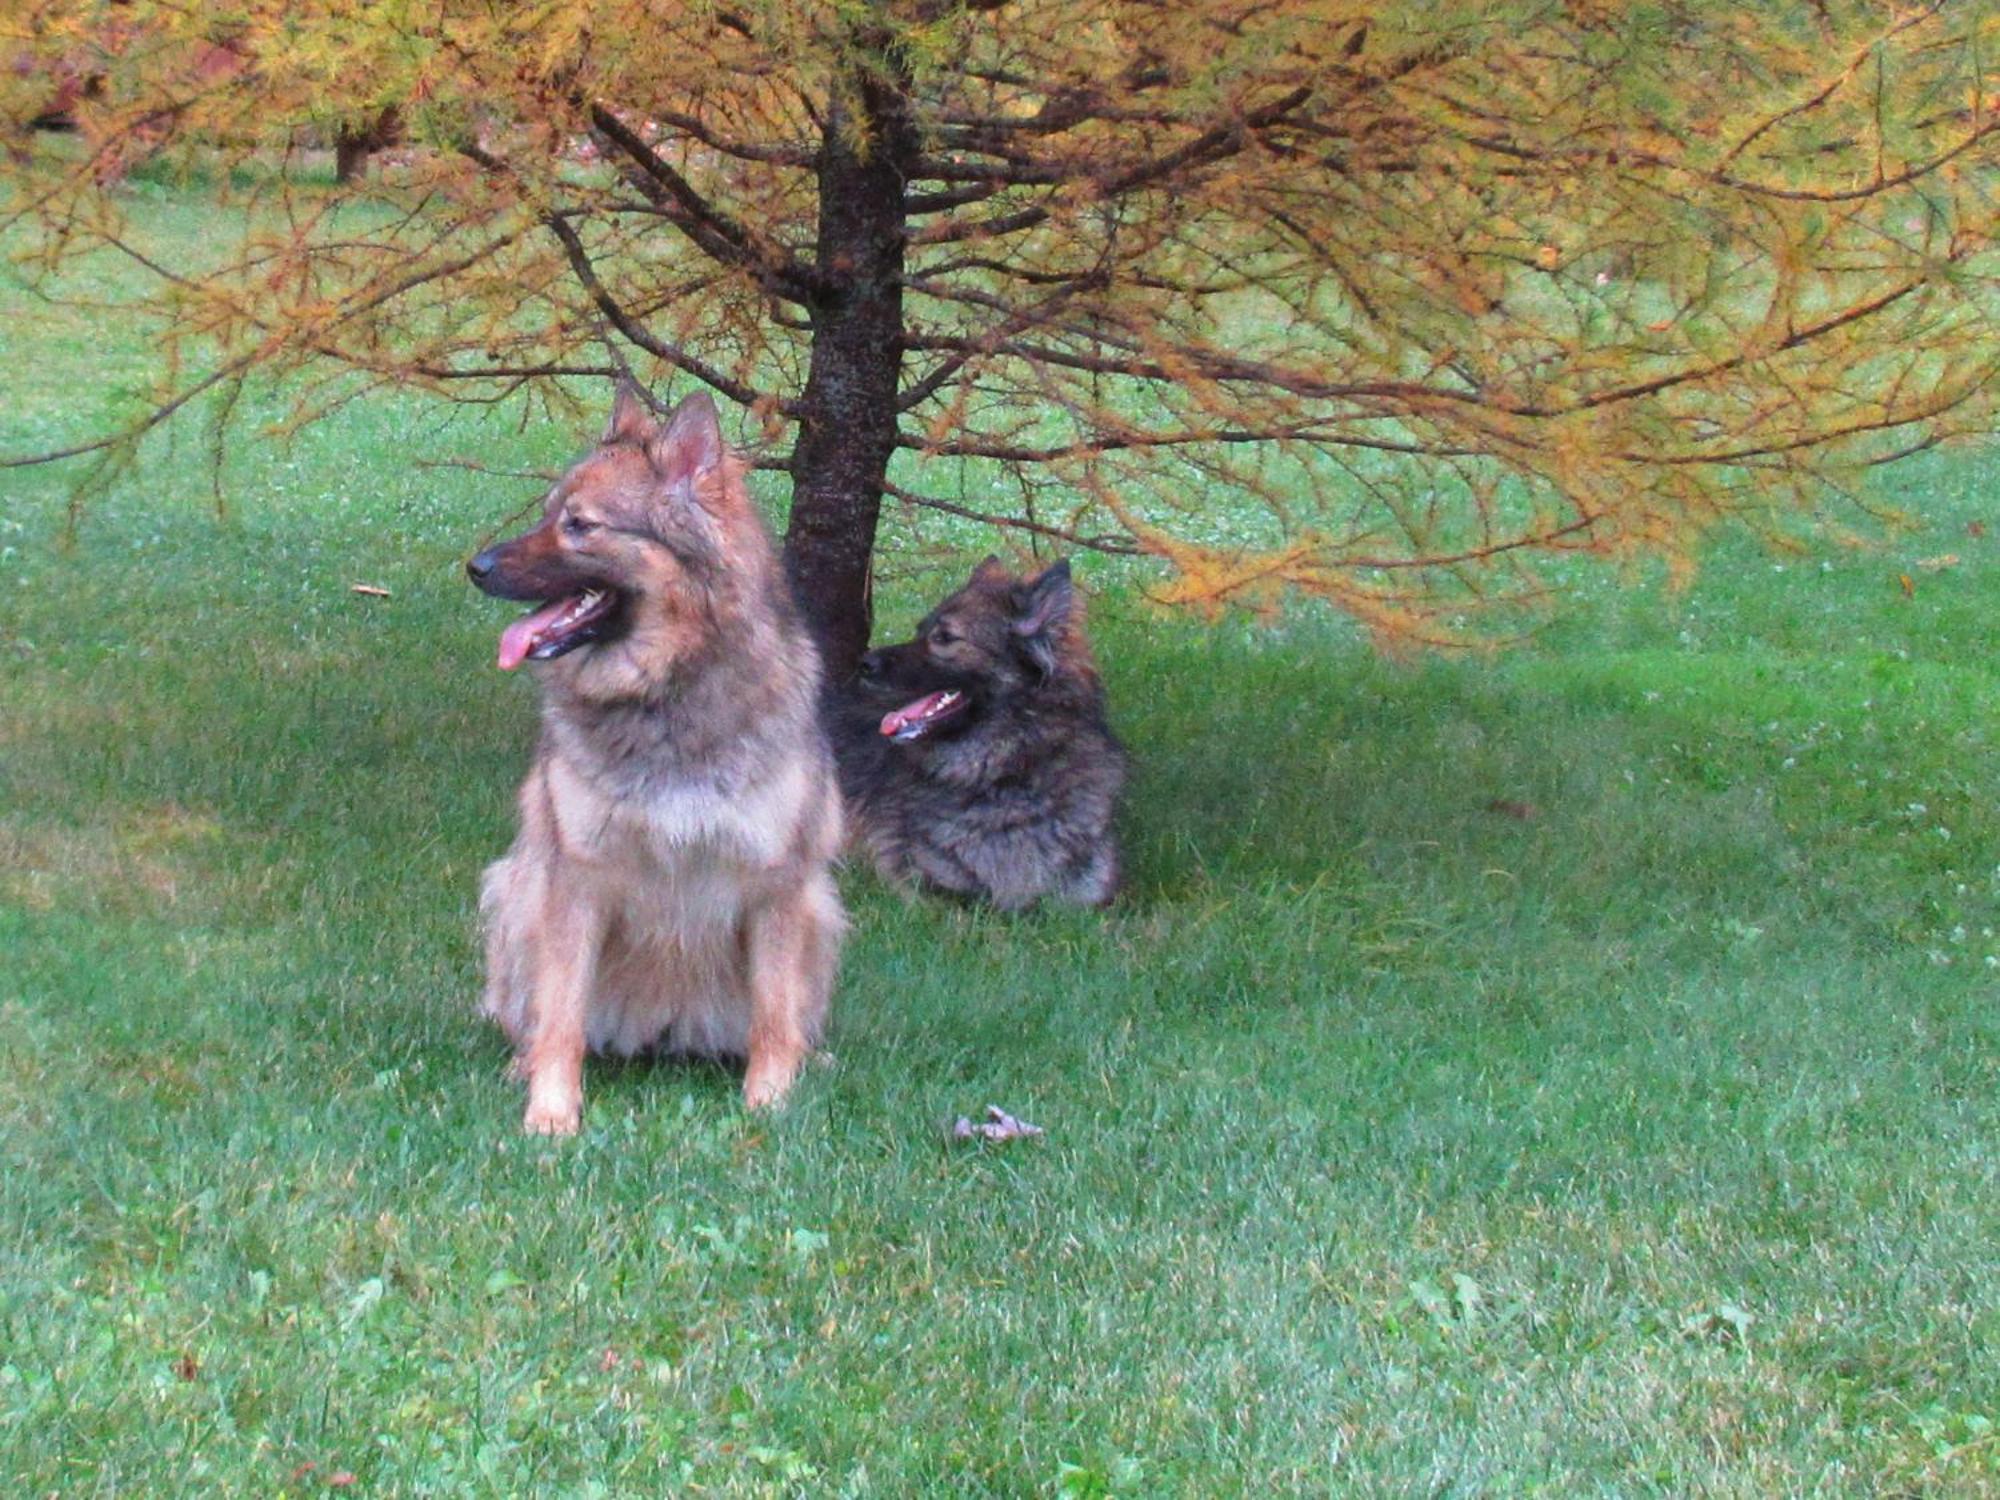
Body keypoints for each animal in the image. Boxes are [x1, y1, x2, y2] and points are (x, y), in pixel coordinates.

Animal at [468, 390, 844, 1136]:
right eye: (548, 513)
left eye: (580, 526)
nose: (476, 567)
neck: (663, 694)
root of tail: (668, 1033)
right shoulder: (575, 881)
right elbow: (560, 1018)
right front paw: (551, 1114)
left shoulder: (779, 885)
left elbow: (773, 1015)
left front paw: (769, 1103)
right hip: (515, 892)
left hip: (820, 910)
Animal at [832, 560, 1128, 912]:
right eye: (920, 631)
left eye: (944, 637)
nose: (864, 663)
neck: (1009, 776)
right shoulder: (932, 889)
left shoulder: (1092, 897)